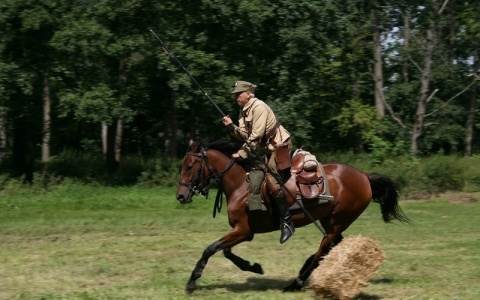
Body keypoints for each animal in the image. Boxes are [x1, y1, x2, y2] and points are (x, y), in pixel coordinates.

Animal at [176, 140, 408, 292]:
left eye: (189, 166)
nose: (180, 196)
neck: (241, 183)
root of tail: (365, 177)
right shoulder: (242, 231)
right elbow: (226, 252)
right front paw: (253, 267)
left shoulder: (244, 231)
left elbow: (211, 249)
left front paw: (192, 281)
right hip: (330, 221)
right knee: (331, 246)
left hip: (337, 222)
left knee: (324, 247)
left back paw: (296, 282)